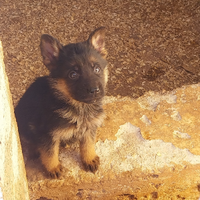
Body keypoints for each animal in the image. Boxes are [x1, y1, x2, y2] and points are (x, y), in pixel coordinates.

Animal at [14, 27, 108, 178]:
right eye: (73, 74)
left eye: (97, 69)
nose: (95, 90)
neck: (79, 107)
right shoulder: (47, 134)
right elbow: (50, 153)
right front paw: (53, 168)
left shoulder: (89, 128)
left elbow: (88, 144)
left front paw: (89, 159)